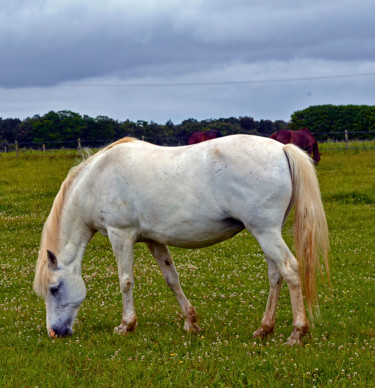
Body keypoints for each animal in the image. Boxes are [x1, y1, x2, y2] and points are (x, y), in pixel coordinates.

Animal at [33, 135, 330, 344]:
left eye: (54, 289)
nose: (55, 332)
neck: (96, 179)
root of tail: (282, 149)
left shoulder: (121, 235)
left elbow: (125, 281)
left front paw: (126, 325)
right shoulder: (153, 239)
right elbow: (171, 278)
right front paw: (190, 322)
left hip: (265, 231)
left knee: (290, 269)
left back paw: (297, 332)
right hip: (268, 233)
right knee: (275, 274)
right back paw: (264, 328)